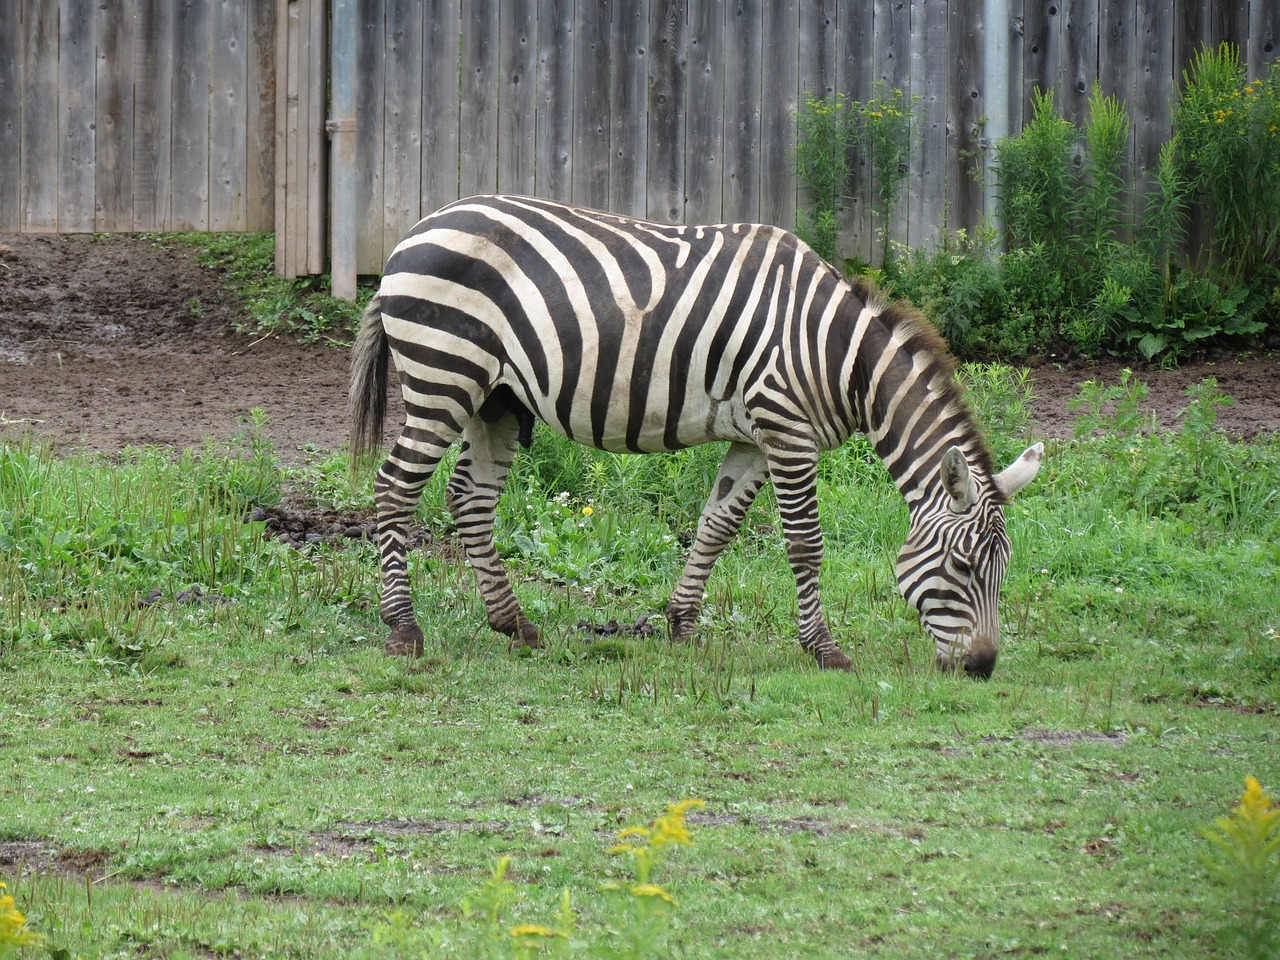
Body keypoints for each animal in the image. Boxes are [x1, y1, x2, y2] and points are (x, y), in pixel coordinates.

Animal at [348, 193, 1039, 675]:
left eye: (1004, 569)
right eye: (961, 564)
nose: (982, 668)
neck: (838, 356)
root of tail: (415, 232)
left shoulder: (755, 438)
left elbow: (717, 523)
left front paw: (681, 623)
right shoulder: (787, 429)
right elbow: (805, 544)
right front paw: (824, 649)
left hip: (495, 397)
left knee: (470, 497)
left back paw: (512, 623)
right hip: (444, 375)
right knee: (395, 490)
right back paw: (403, 628)